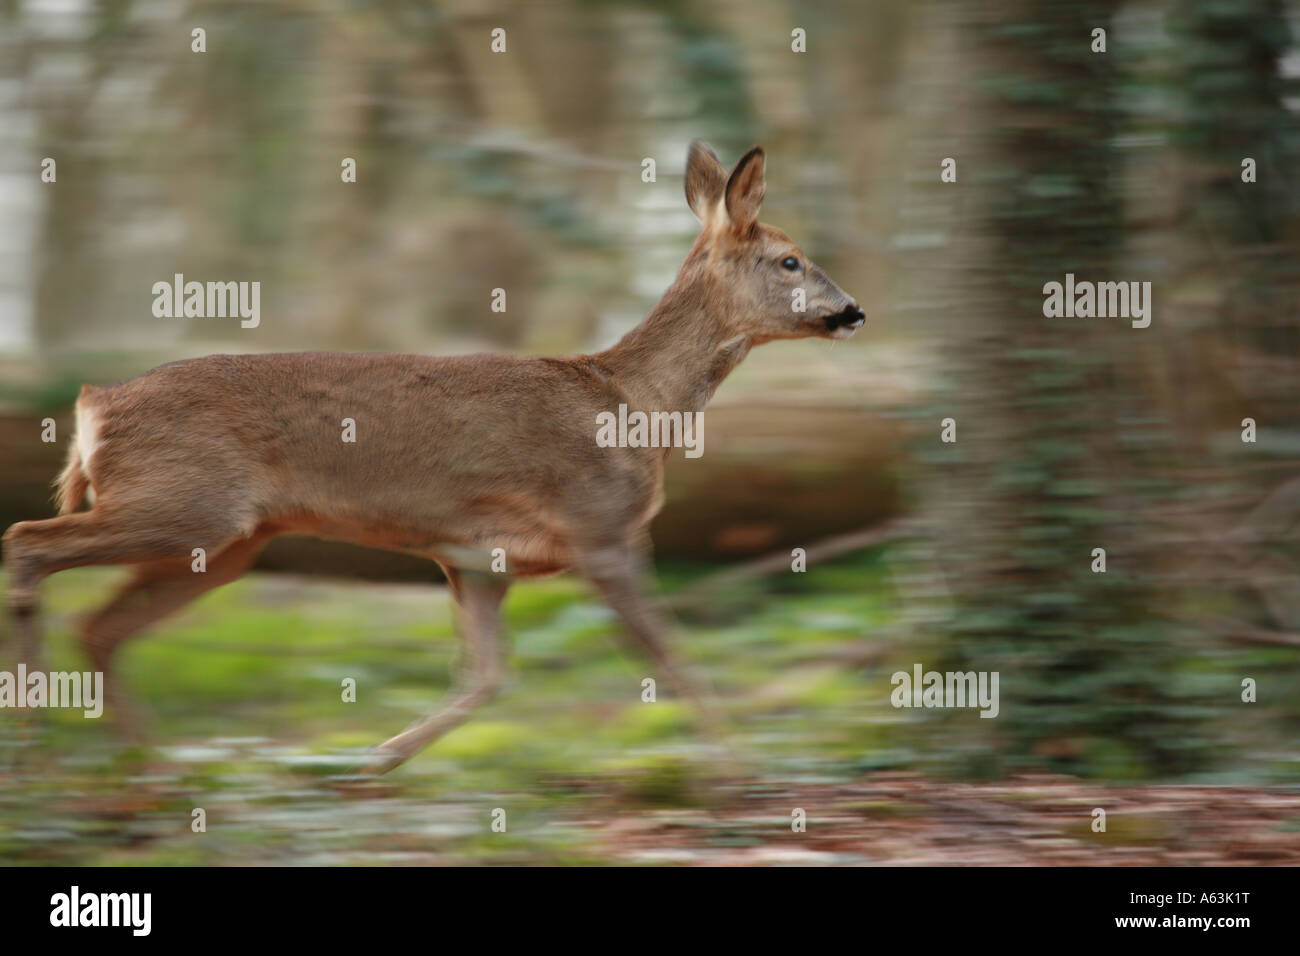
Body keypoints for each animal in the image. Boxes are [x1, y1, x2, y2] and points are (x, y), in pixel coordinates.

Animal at [2, 141, 863, 775]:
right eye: (790, 260)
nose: (853, 310)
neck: (637, 405)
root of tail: (91, 407)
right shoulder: (602, 529)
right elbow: (674, 657)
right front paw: (742, 769)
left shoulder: (478, 558)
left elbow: (485, 677)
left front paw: (373, 760)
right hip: (189, 503)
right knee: (27, 543)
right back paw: (38, 740)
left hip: (224, 540)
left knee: (99, 625)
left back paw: (149, 761)